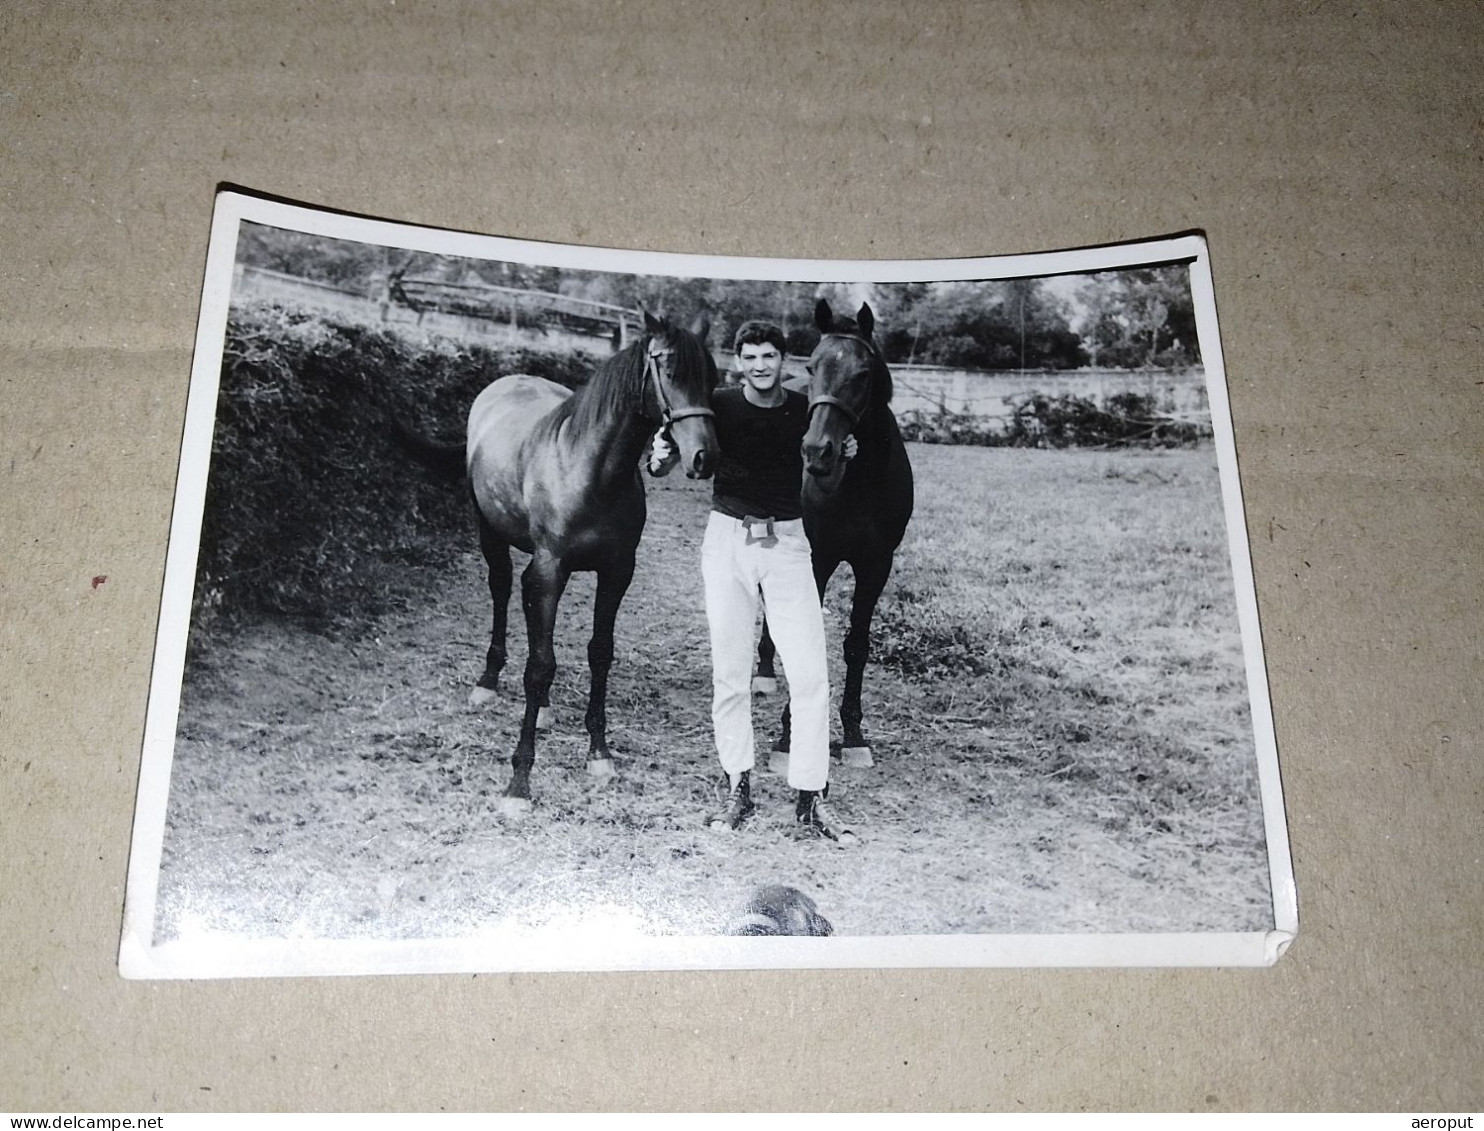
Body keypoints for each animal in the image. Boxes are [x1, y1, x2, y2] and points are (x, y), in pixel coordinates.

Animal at [403, 313, 715, 813]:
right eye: (669, 370)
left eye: (713, 376)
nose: (705, 457)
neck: (590, 470)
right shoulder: (551, 570)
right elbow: (539, 664)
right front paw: (519, 782)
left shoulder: (616, 572)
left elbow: (599, 654)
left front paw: (599, 754)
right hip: (492, 535)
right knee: (502, 589)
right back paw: (488, 680)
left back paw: (544, 707)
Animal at [759, 295, 908, 765]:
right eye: (813, 366)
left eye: (863, 373)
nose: (816, 452)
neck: (858, 484)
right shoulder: (818, 558)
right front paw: (789, 736)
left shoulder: (876, 565)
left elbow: (857, 644)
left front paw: (854, 734)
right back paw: (763, 671)